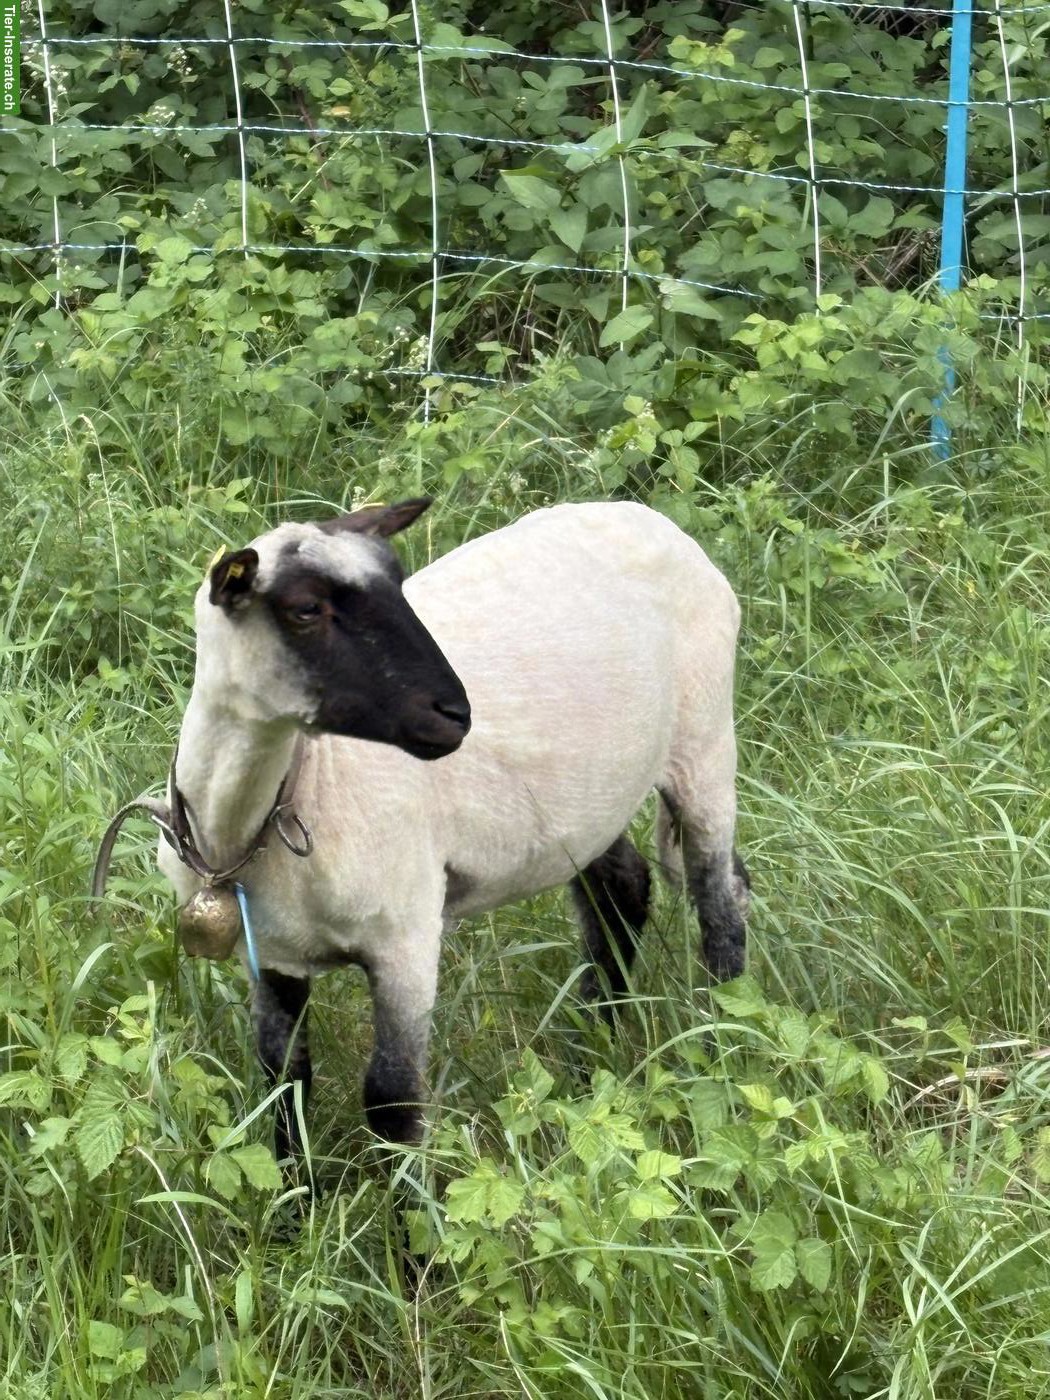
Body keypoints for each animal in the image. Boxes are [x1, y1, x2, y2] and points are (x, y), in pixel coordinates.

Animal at [155, 497, 749, 1160]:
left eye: (399, 582)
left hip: (703, 747)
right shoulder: (270, 955)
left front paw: (410, 1191)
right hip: (587, 805)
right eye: (305, 609)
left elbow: (392, 1098)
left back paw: (720, 1049)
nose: (455, 714)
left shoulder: (406, 938)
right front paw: (294, 1190)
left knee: (722, 911)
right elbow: (283, 1083)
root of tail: (648, 517)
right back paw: (590, 1061)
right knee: (622, 888)